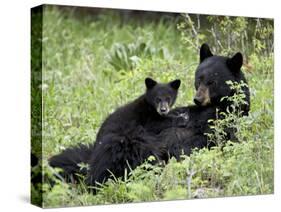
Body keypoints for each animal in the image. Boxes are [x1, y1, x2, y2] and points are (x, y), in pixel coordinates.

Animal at [48, 77, 184, 186]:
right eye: (157, 99)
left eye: (168, 98)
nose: (163, 109)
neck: (150, 107)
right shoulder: (147, 118)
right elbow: (158, 123)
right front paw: (181, 118)